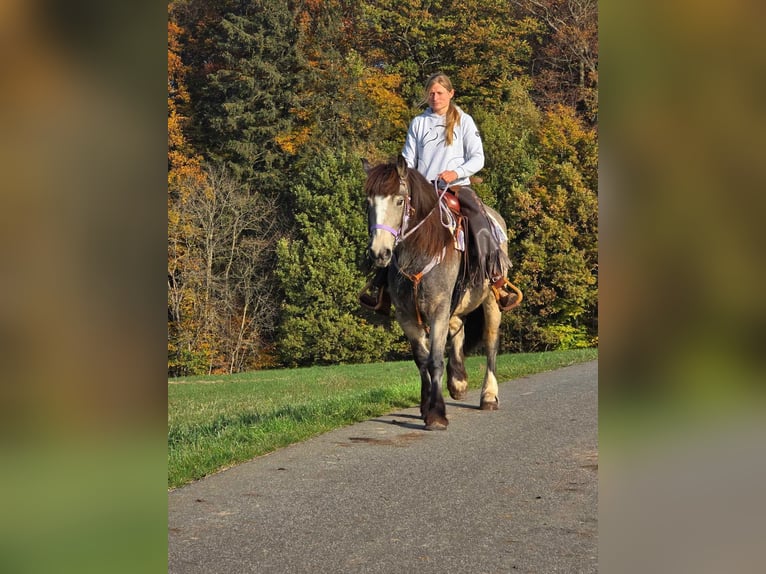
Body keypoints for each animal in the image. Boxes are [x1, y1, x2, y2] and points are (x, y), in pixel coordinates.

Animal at [364, 155, 520, 430]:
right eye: (368, 202)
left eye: (399, 200)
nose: (379, 252)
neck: (420, 251)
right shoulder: (406, 315)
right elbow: (421, 359)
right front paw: (426, 405)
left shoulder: (438, 311)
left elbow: (434, 360)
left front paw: (436, 414)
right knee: (458, 328)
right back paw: (458, 381)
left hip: (491, 300)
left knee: (490, 342)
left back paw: (489, 396)